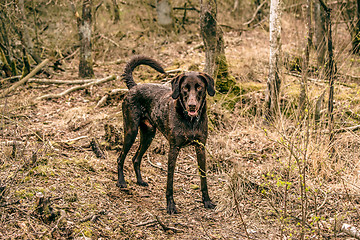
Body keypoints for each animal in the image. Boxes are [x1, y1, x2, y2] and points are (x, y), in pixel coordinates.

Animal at [116, 55, 215, 214]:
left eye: (199, 87)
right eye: (184, 88)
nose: (192, 106)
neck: (190, 121)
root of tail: (134, 86)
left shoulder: (200, 147)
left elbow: (203, 177)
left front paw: (206, 201)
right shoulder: (174, 149)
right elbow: (170, 180)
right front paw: (170, 205)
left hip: (148, 135)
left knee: (136, 158)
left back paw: (140, 181)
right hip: (131, 131)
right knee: (121, 158)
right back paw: (121, 182)